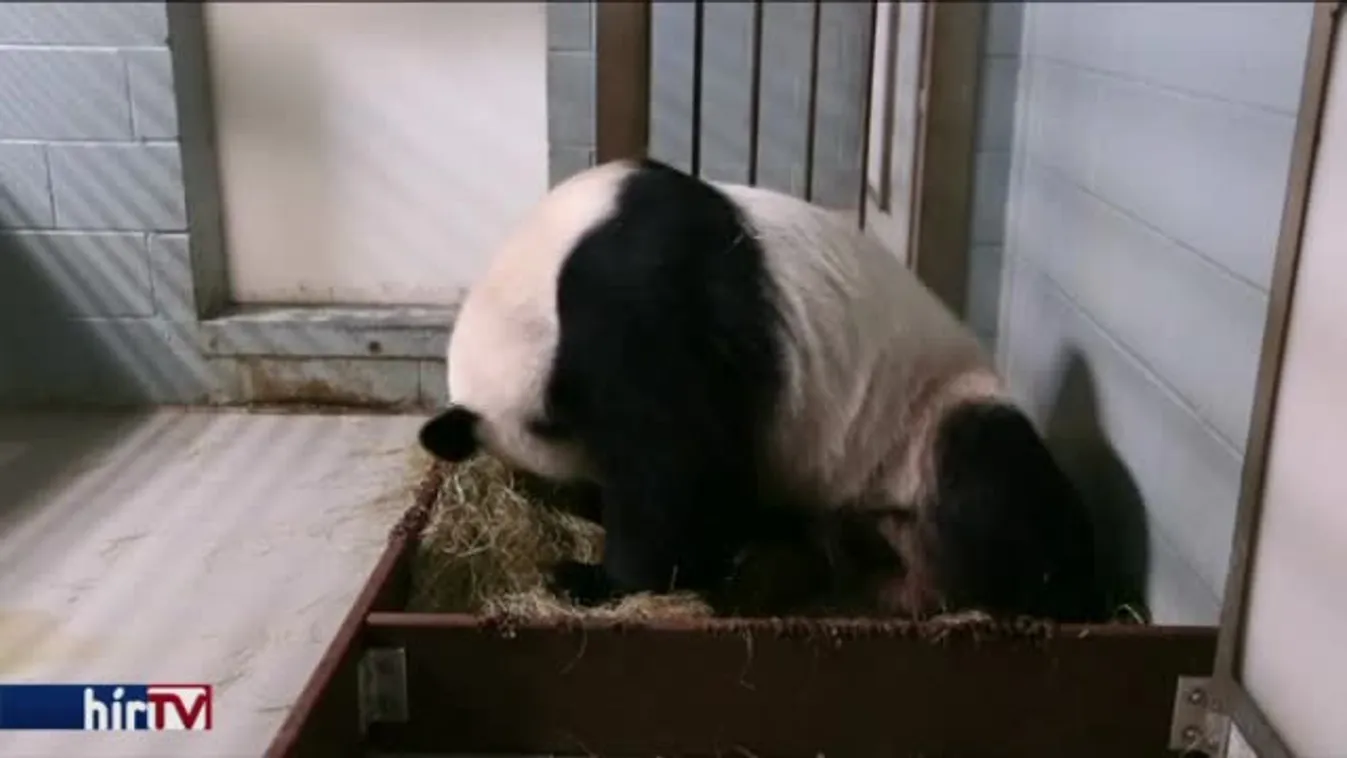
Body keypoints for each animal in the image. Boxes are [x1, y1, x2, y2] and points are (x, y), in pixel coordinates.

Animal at [419, 158, 1106, 623]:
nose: (586, 506)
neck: (533, 285)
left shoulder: (641, 309)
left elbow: (677, 460)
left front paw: (592, 578)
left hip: (933, 415)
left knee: (993, 479)